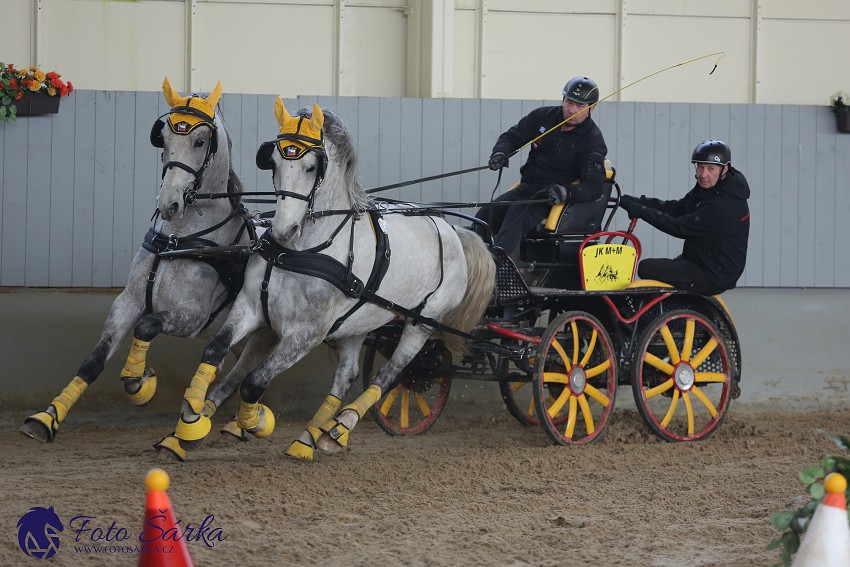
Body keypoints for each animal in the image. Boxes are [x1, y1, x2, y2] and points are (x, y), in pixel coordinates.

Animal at [19, 79, 274, 458]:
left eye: (200, 141)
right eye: (163, 137)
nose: (169, 204)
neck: (178, 239)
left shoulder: (191, 316)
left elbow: (147, 325)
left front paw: (139, 381)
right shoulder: (128, 302)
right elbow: (94, 361)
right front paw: (46, 418)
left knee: (244, 374)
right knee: (234, 370)